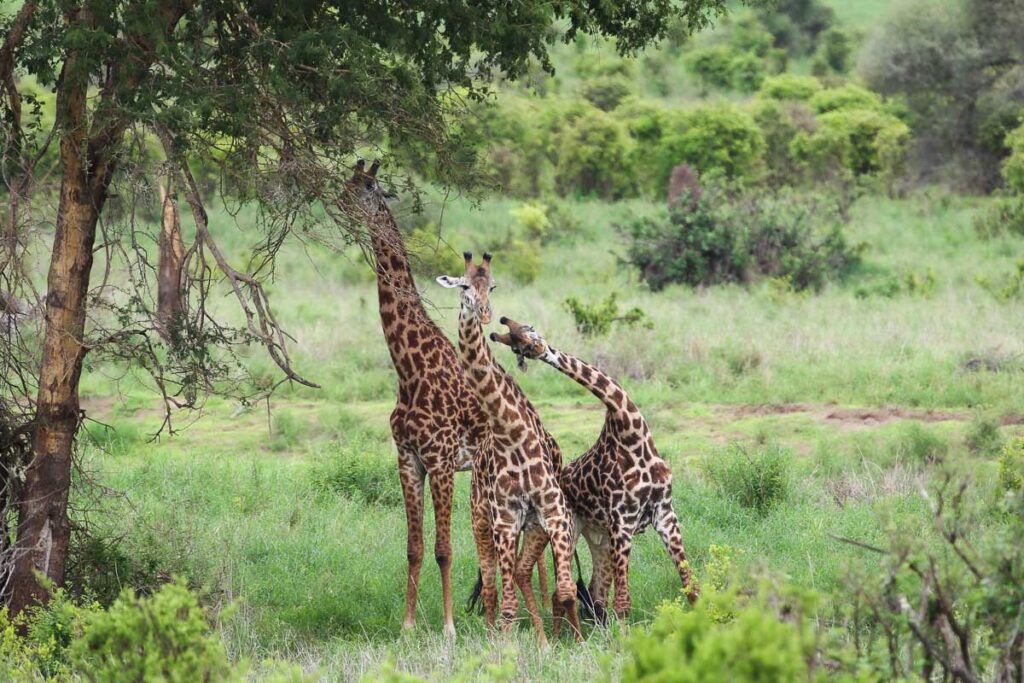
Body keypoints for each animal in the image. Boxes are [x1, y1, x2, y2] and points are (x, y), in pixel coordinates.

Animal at [436, 253, 581, 642]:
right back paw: (495, 637)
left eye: (493, 285)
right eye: (464, 285)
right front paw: (506, 646)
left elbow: (566, 589)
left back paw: (544, 639)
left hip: (531, 528)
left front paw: (577, 642)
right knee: (492, 587)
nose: (486, 314)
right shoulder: (503, 520)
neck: (509, 428)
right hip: (481, 522)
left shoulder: (553, 513)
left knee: (520, 574)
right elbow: (508, 606)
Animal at [491, 317, 700, 626]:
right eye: (518, 348)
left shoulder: (665, 513)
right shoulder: (622, 520)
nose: (540, 349)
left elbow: (691, 586)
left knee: (595, 590)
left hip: (598, 537)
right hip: (567, 531)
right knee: (564, 591)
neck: (630, 431)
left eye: (530, 331)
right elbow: (623, 602)